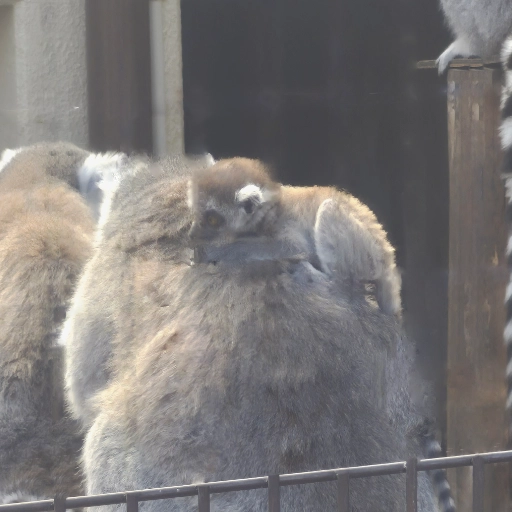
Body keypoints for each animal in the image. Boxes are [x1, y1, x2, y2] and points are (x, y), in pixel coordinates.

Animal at [187, 157, 402, 317]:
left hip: (368, 255)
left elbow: (292, 247)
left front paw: (211, 252)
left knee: (329, 213)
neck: (271, 210)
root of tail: (388, 258)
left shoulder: (286, 226)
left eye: (213, 220)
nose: (191, 235)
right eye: (195, 209)